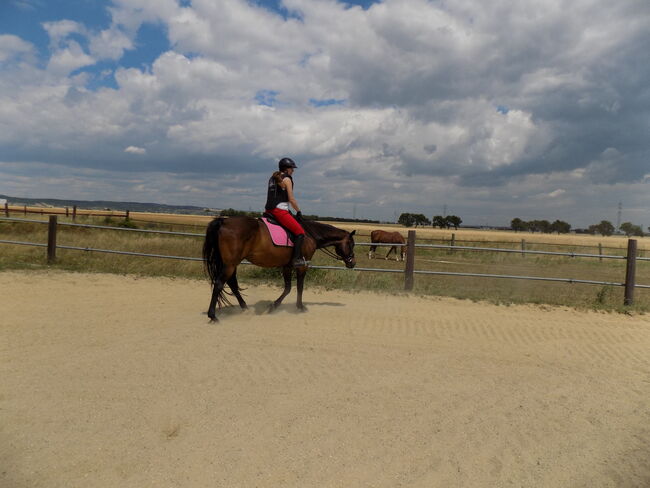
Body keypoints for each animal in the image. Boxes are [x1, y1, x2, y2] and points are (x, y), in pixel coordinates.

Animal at [201, 215, 354, 322]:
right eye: (351, 244)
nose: (352, 263)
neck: (309, 234)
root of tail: (224, 222)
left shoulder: (287, 266)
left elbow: (288, 288)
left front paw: (273, 306)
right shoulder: (302, 266)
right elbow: (299, 286)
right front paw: (300, 307)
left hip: (231, 264)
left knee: (232, 283)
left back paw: (245, 308)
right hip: (230, 264)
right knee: (219, 284)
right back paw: (213, 316)